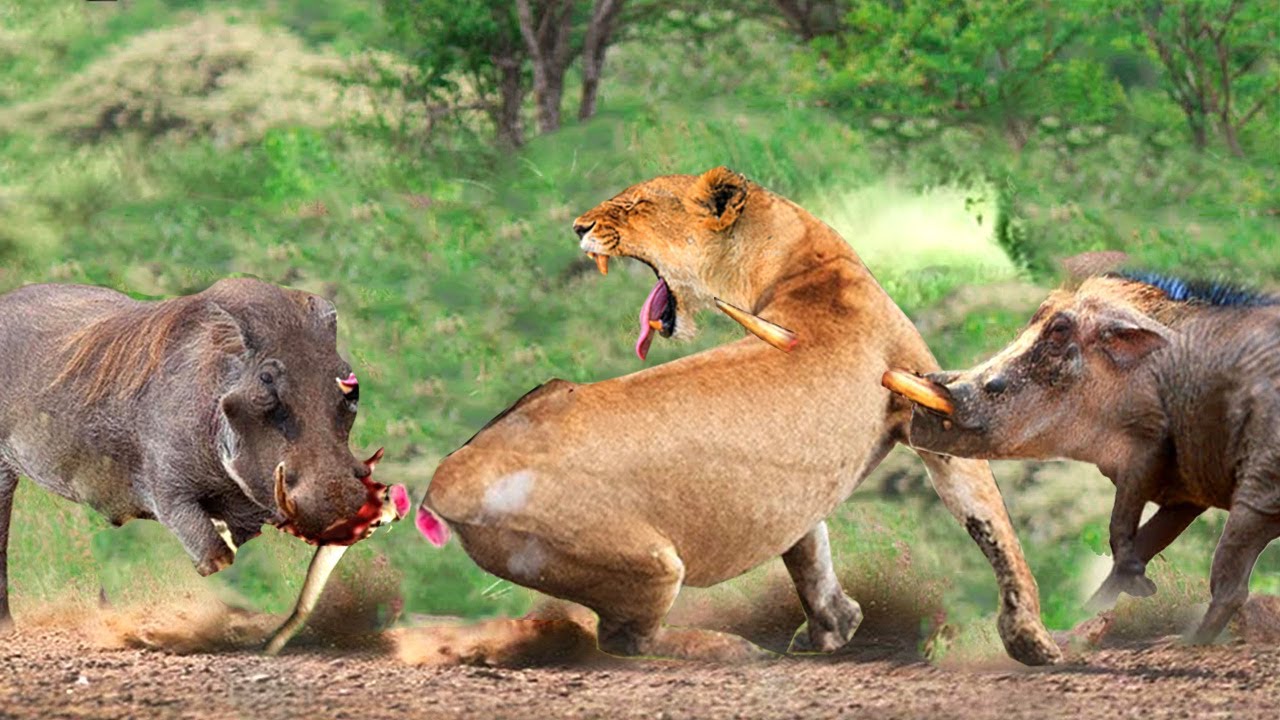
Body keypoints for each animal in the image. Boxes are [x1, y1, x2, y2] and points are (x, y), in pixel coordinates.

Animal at [418, 166, 1061, 665]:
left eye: (632, 204)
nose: (577, 227)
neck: (799, 260)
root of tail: (448, 478)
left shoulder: (801, 481)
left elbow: (809, 549)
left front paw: (836, 625)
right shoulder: (927, 410)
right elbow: (993, 527)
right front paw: (1031, 641)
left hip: (548, 396)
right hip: (650, 562)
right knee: (625, 640)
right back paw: (726, 647)